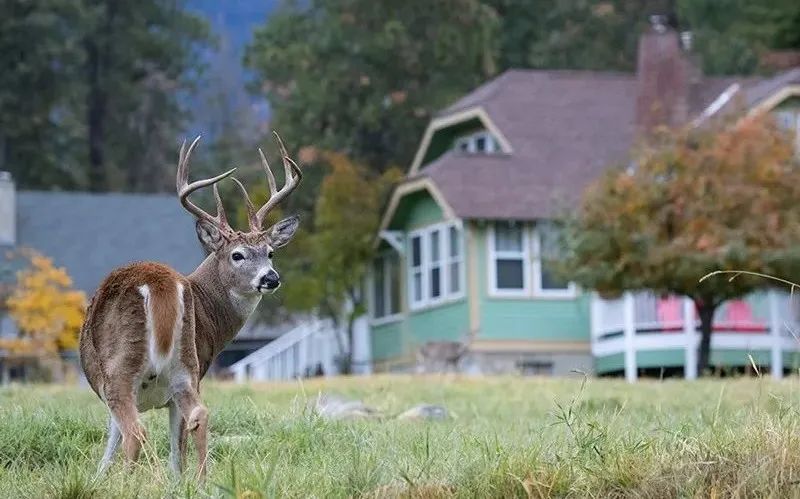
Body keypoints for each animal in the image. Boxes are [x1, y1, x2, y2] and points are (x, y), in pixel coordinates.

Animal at [79, 135, 304, 478]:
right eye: (238, 255)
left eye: (270, 252)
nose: (271, 278)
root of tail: (159, 283)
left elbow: (113, 443)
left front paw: (100, 481)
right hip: (184, 366)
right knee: (198, 415)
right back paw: (200, 480)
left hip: (122, 367)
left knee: (136, 431)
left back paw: (129, 481)